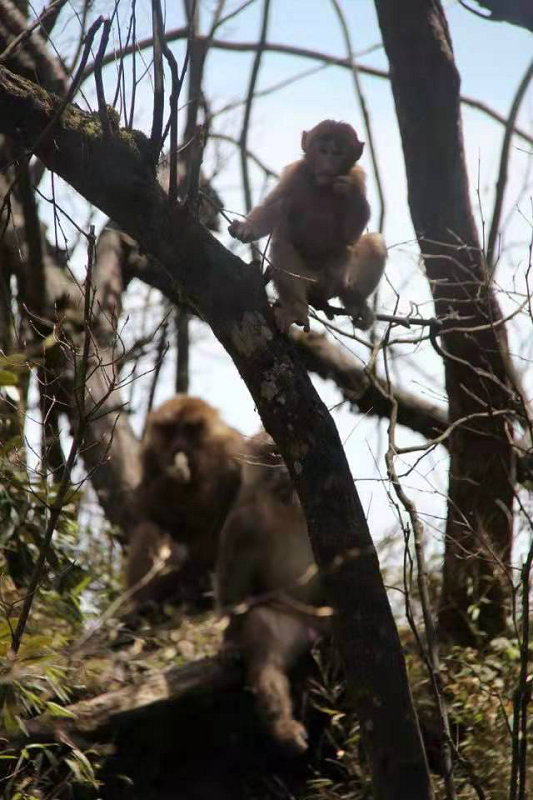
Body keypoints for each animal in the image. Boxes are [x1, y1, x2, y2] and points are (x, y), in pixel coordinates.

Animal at [127, 396, 245, 612]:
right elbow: (144, 510)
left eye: (189, 429)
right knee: (149, 528)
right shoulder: (149, 455)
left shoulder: (233, 451)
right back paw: (145, 602)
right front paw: (170, 482)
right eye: (170, 430)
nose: (179, 445)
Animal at [214, 434, 326, 752]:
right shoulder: (242, 524)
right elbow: (233, 588)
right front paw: (229, 642)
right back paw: (284, 728)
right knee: (266, 649)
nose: (286, 469)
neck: (288, 510)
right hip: (291, 622)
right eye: (275, 451)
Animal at [229, 118, 386, 332]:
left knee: (375, 242)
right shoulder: (295, 174)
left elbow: (350, 236)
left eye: (338, 152)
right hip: (307, 279)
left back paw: (354, 301)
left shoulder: (357, 177)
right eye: (323, 150)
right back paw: (297, 310)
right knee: (283, 246)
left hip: (338, 278)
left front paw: (350, 193)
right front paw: (246, 228)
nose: (328, 162)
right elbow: (273, 209)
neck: (323, 187)